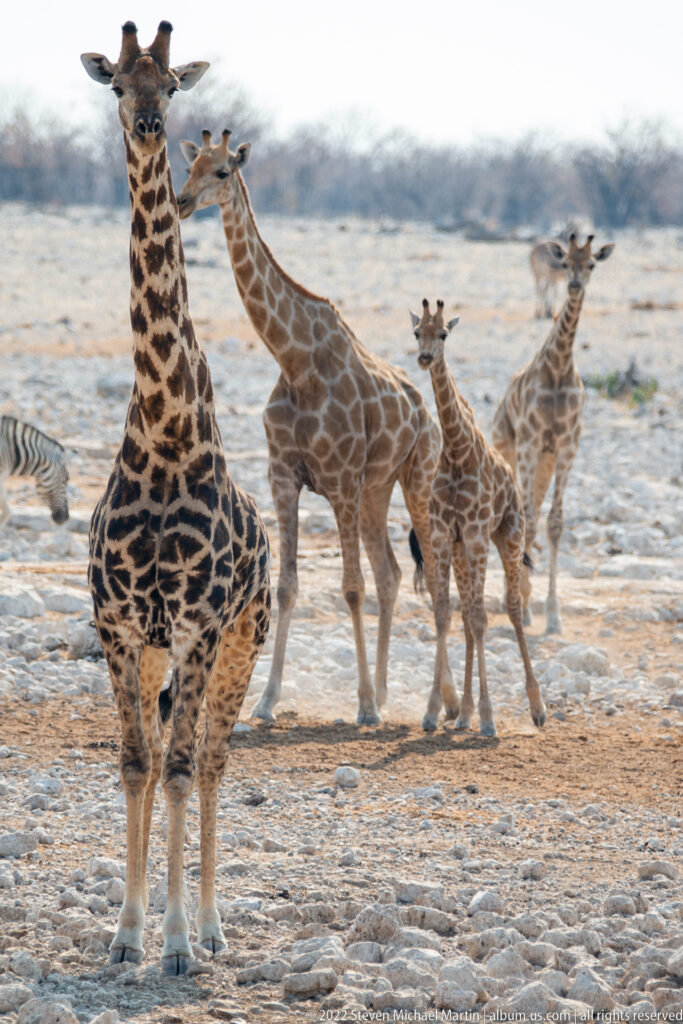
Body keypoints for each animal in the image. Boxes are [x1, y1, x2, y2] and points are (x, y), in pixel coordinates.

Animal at [175, 130, 456, 727]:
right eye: (189, 164)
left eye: (223, 171)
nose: (182, 202)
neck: (295, 358)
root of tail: (425, 412)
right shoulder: (285, 476)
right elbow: (287, 586)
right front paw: (267, 700)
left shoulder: (341, 480)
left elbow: (350, 588)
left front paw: (365, 706)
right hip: (377, 491)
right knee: (393, 574)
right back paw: (404, 694)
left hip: (415, 481)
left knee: (434, 579)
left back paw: (438, 707)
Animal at [409, 300, 546, 736]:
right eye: (417, 333)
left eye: (444, 334)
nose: (425, 358)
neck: (455, 450)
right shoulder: (443, 536)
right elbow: (446, 615)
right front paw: (434, 712)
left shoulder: (475, 534)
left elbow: (484, 617)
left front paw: (488, 717)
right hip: (462, 551)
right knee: (468, 616)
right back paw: (464, 714)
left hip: (509, 535)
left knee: (512, 608)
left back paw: (536, 708)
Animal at [492, 234, 614, 634]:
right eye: (564, 263)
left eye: (591, 264)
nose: (574, 285)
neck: (559, 366)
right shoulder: (531, 444)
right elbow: (529, 519)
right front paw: (527, 605)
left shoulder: (565, 448)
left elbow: (556, 524)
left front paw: (554, 614)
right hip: (510, 451)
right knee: (518, 515)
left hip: (544, 463)